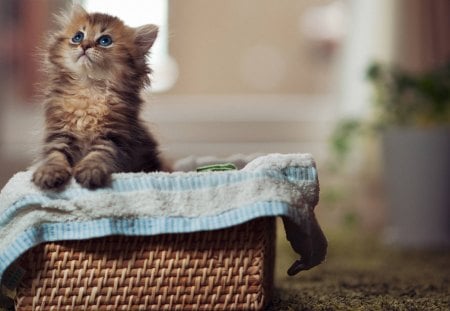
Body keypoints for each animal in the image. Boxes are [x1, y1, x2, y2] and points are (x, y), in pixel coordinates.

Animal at [32, 5, 165, 190]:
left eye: (105, 41)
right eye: (78, 37)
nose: (84, 45)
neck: (89, 89)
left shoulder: (113, 136)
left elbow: (99, 154)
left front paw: (90, 171)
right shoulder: (59, 132)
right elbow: (55, 154)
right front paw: (49, 172)